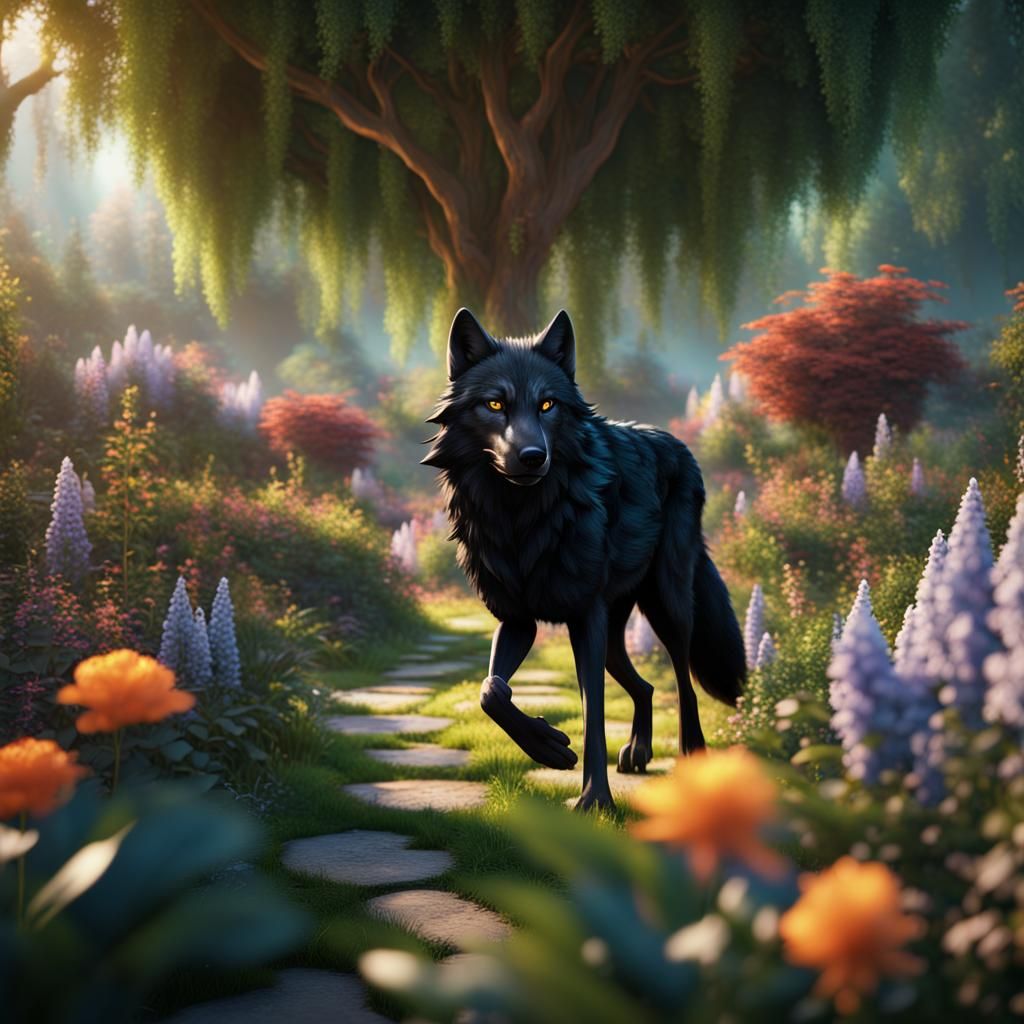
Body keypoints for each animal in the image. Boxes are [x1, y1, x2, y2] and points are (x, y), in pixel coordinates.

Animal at [422, 308, 746, 810]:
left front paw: (595, 800)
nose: (533, 456)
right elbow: (491, 692)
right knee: (645, 686)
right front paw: (550, 747)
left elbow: (593, 710)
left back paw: (693, 760)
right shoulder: (518, 619)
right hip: (617, 632)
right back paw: (638, 753)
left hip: (668, 608)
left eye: (547, 405)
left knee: (684, 684)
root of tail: (678, 445)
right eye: (495, 405)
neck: (519, 520)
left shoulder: (584, 618)